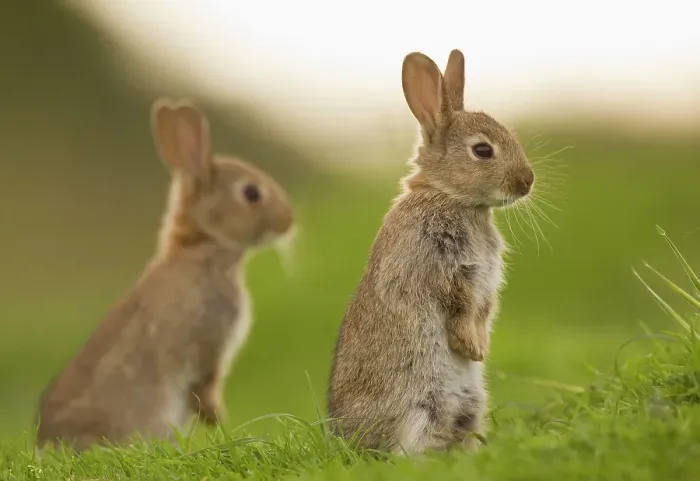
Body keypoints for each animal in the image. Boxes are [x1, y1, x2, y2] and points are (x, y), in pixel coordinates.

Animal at [36, 98, 294, 452]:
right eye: (252, 193)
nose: (289, 219)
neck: (202, 248)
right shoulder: (206, 348)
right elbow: (205, 391)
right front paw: (220, 423)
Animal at [328, 49, 535, 454]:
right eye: (482, 150)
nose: (527, 181)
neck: (449, 196)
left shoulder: (485, 285)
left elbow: (484, 311)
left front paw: (481, 349)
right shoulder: (442, 270)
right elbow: (458, 309)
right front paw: (473, 349)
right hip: (415, 409)